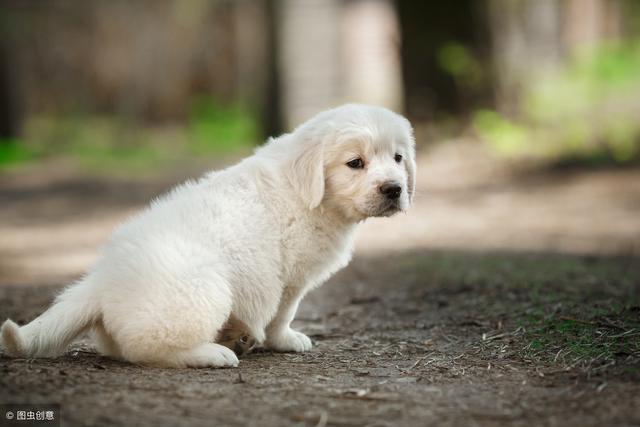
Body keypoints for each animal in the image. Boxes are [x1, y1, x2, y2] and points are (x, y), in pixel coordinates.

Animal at [0, 104, 418, 368]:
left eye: (398, 158)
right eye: (355, 163)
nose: (394, 189)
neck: (311, 195)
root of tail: (100, 280)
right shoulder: (289, 278)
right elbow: (282, 314)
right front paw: (285, 340)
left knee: (122, 345)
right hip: (204, 289)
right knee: (145, 349)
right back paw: (214, 354)